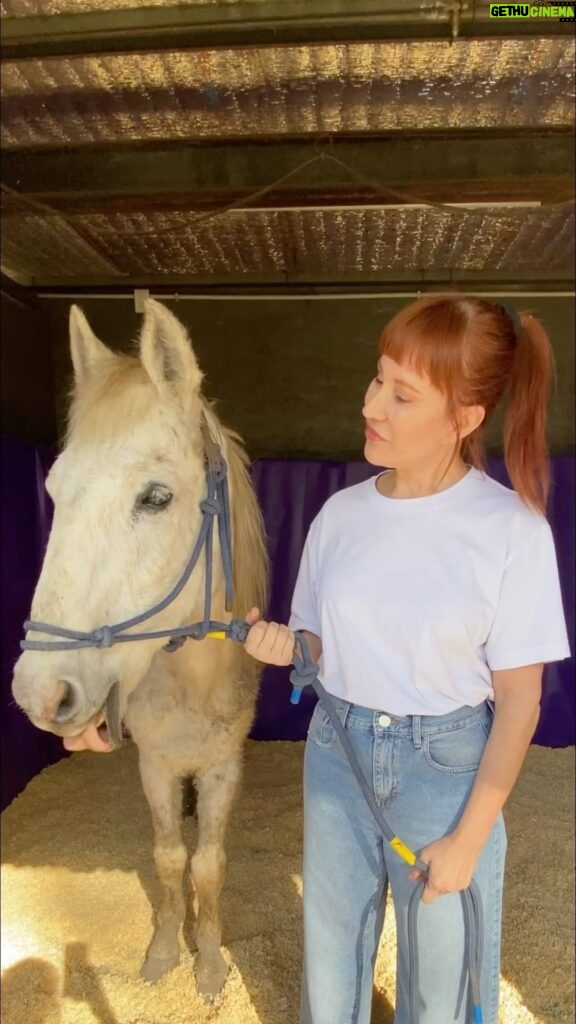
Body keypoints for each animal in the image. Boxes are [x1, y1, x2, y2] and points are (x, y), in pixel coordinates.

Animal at [11, 296, 266, 999]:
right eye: (51, 492)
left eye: (155, 497)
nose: (38, 694)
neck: (192, 685)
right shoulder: (154, 765)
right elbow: (169, 856)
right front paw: (162, 951)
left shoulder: (223, 766)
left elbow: (208, 863)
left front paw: (209, 963)